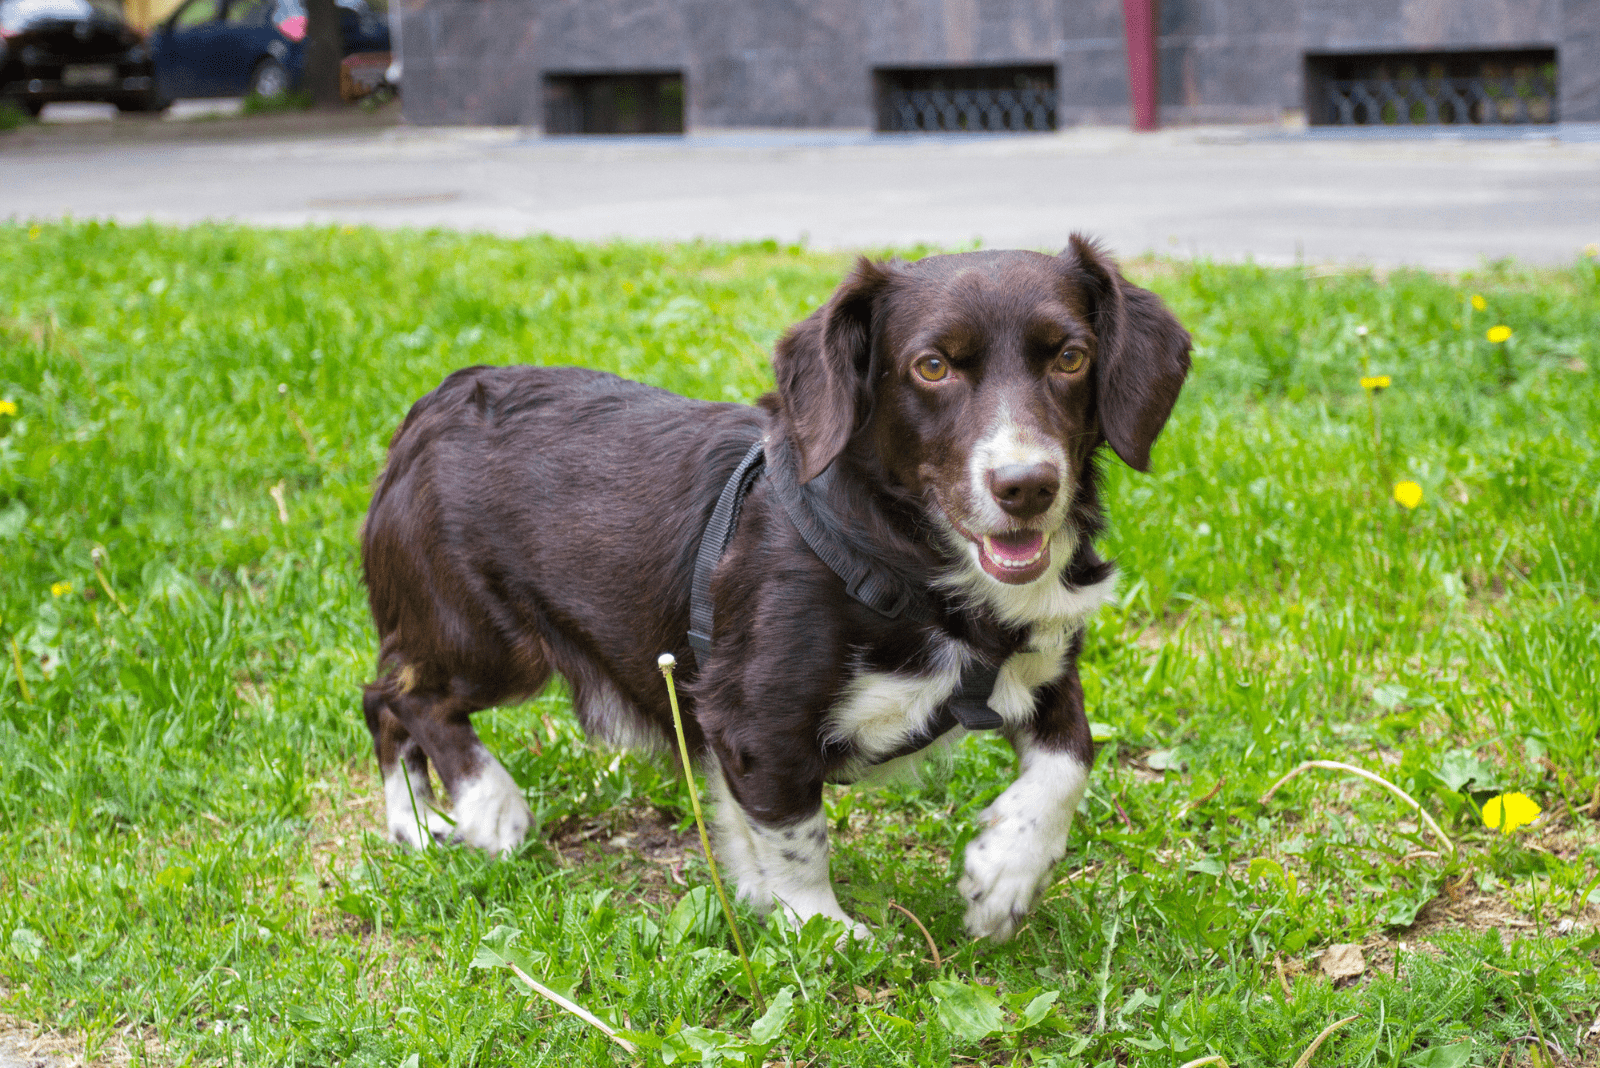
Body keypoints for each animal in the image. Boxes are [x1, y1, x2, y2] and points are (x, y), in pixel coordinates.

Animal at [363, 235, 1190, 940]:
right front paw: (820, 928)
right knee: (403, 697)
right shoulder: (757, 720)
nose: (1027, 486)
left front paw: (1004, 876)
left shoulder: (1045, 667)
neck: (910, 561)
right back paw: (486, 805)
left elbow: (1069, 761)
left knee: (387, 703)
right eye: (932, 367)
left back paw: (417, 826)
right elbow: (797, 837)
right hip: (489, 641)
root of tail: (428, 409)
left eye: (1072, 356)